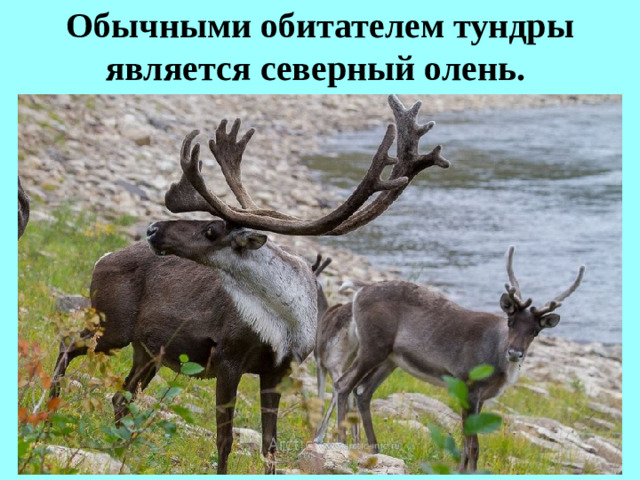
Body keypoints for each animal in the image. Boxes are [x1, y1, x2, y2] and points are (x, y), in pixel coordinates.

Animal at [50, 95, 450, 474]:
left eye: (211, 231)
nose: (152, 229)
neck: (286, 320)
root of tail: (103, 258)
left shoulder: (277, 372)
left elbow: (269, 444)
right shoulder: (227, 360)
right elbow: (224, 438)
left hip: (147, 350)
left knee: (122, 395)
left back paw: (118, 448)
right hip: (111, 326)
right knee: (68, 345)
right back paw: (52, 402)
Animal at [321, 247, 585, 472]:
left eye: (535, 331)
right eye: (510, 321)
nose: (514, 353)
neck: (497, 362)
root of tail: (360, 289)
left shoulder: (482, 397)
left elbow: (467, 443)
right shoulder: (469, 385)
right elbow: (473, 445)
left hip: (390, 359)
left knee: (363, 391)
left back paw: (375, 450)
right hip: (373, 347)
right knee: (344, 384)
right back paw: (342, 443)